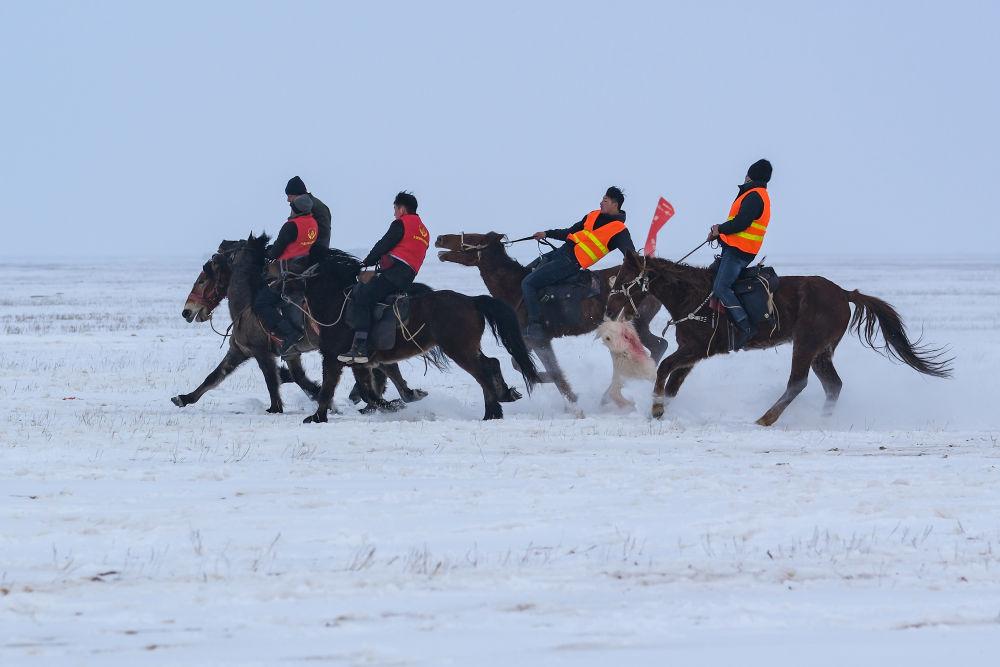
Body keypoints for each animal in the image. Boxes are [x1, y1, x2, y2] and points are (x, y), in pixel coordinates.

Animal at [176, 235, 426, 412]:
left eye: (202, 280)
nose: (187, 311)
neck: (248, 305)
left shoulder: (262, 352)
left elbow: (272, 381)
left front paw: (277, 407)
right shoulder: (251, 351)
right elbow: (214, 376)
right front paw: (184, 398)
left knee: (383, 369)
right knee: (386, 369)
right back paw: (401, 396)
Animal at [250, 235, 544, 422]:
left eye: (292, 258)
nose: (264, 275)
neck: (335, 300)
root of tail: (471, 300)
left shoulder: (333, 357)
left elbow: (330, 388)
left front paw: (317, 417)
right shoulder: (359, 361)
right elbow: (368, 391)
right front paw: (395, 403)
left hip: (458, 348)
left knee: (482, 371)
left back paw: (492, 411)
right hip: (466, 347)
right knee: (492, 363)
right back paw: (505, 394)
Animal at [430, 232, 664, 404]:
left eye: (474, 238)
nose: (440, 238)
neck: (516, 288)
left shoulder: (539, 339)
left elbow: (553, 371)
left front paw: (572, 398)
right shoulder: (528, 340)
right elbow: (521, 365)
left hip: (637, 323)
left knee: (657, 346)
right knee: (659, 344)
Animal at [604, 253, 948, 426]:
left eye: (624, 278)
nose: (607, 308)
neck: (693, 295)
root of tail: (843, 293)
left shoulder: (696, 348)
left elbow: (664, 370)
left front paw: (656, 409)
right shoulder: (693, 353)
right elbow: (674, 383)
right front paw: (663, 408)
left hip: (806, 344)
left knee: (798, 382)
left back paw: (766, 418)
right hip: (821, 351)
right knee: (833, 385)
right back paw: (822, 420)